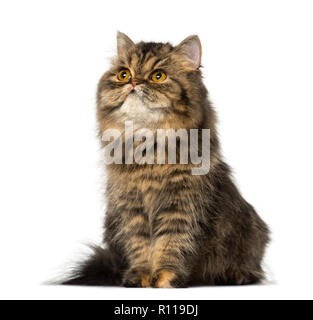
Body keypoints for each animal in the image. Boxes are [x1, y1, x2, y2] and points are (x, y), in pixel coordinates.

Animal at [62, 32, 270, 288]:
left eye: (158, 76)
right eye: (124, 74)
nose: (134, 83)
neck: (147, 146)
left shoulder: (181, 204)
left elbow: (171, 244)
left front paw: (165, 278)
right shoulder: (132, 207)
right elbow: (140, 246)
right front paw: (140, 277)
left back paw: (234, 275)